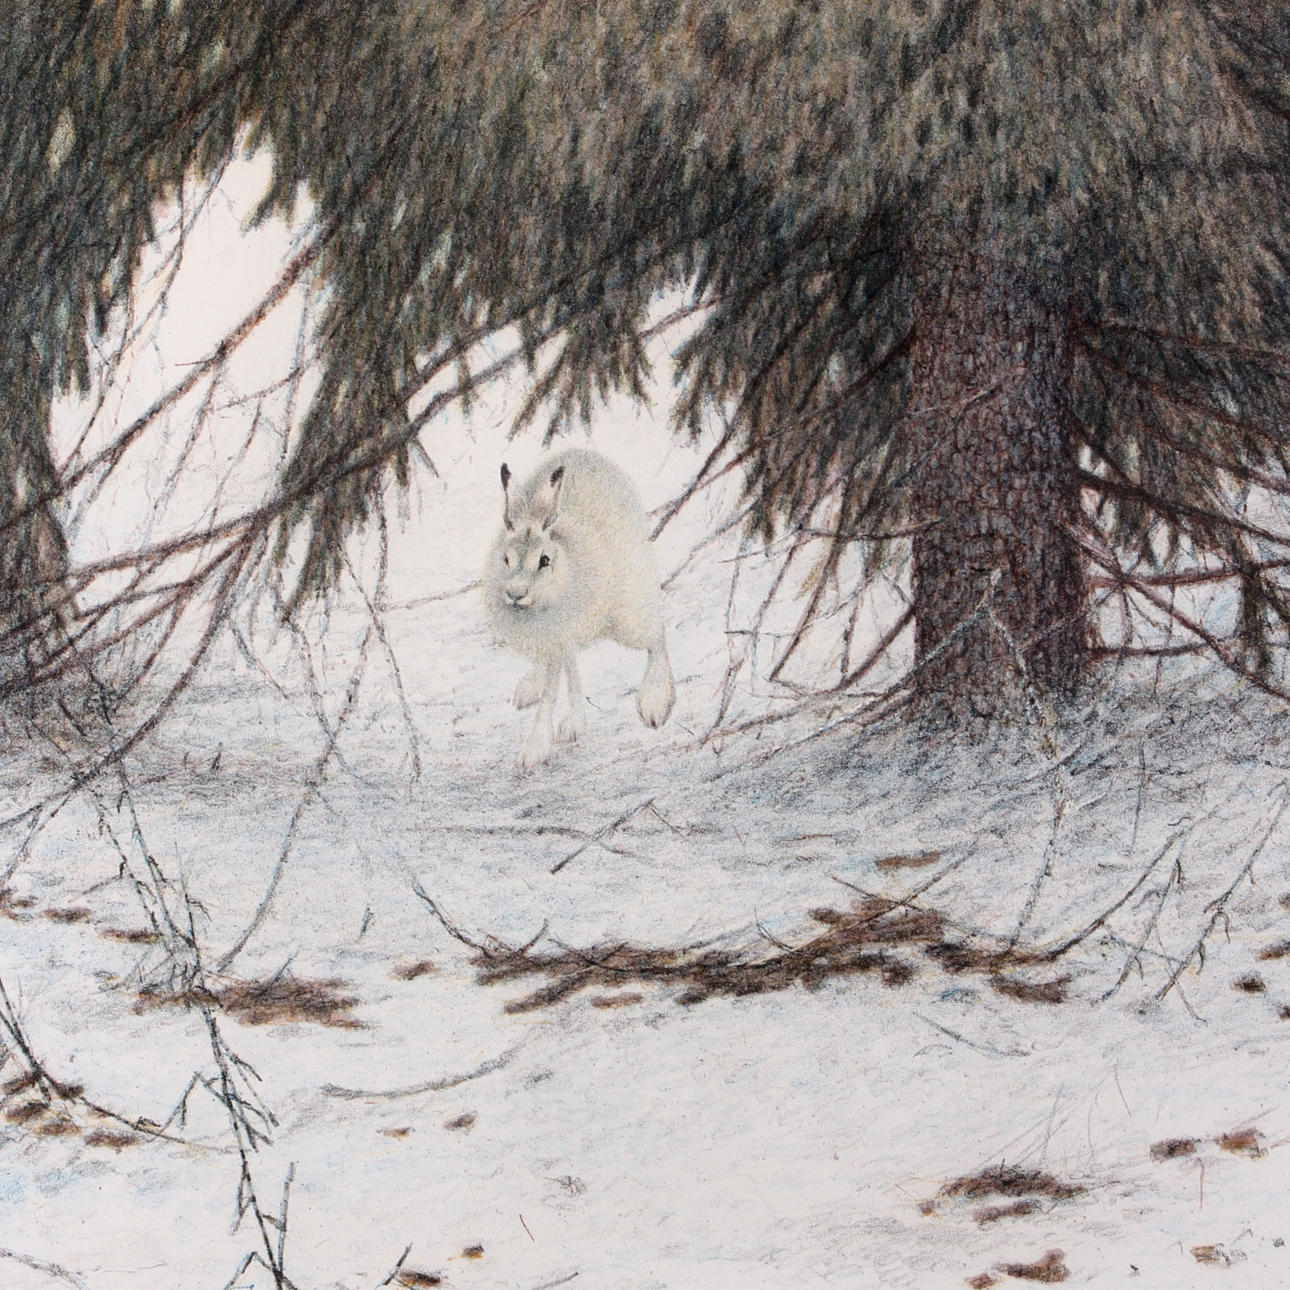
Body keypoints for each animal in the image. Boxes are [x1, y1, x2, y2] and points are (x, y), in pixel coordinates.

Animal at [482, 448, 675, 769]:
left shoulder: (558, 638)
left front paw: (533, 752)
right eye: (505, 559)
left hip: (627, 613)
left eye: (544, 560)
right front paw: (563, 726)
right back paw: (535, 695)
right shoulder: (555, 640)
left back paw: (655, 703)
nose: (515, 594)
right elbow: (562, 676)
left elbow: (551, 693)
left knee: (657, 635)